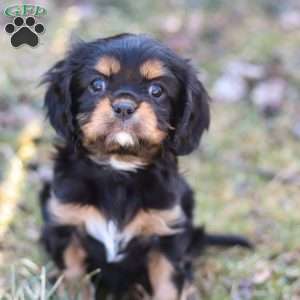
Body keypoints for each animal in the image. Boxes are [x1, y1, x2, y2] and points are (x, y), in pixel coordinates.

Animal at [40, 34, 251, 298]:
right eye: (97, 84)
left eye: (156, 90)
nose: (124, 107)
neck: (120, 169)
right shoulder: (67, 225)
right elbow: (73, 277)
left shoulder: (166, 235)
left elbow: (167, 286)